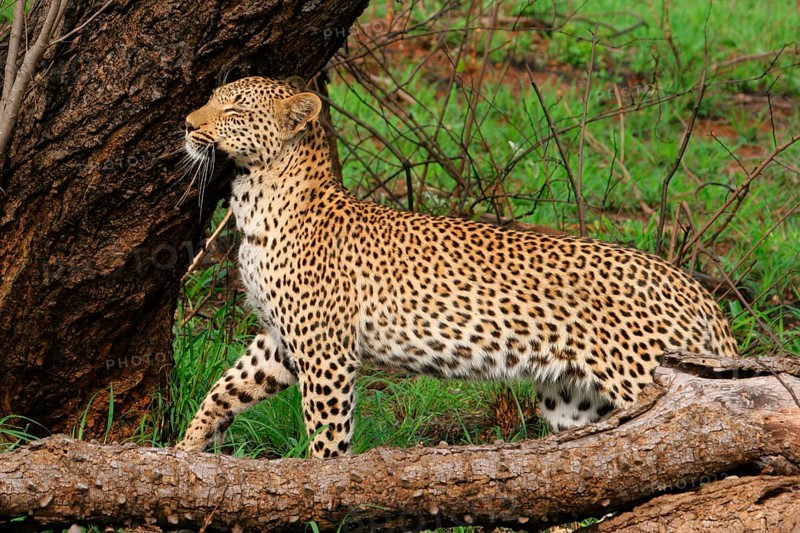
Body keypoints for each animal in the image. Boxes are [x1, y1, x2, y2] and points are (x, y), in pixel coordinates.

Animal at [176, 76, 739, 458]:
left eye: (232, 108)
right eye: (214, 97)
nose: (186, 124)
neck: (255, 202)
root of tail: (697, 291)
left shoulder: (325, 349)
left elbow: (327, 435)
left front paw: (321, 485)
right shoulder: (281, 338)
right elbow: (226, 389)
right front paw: (186, 450)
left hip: (642, 376)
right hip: (573, 402)